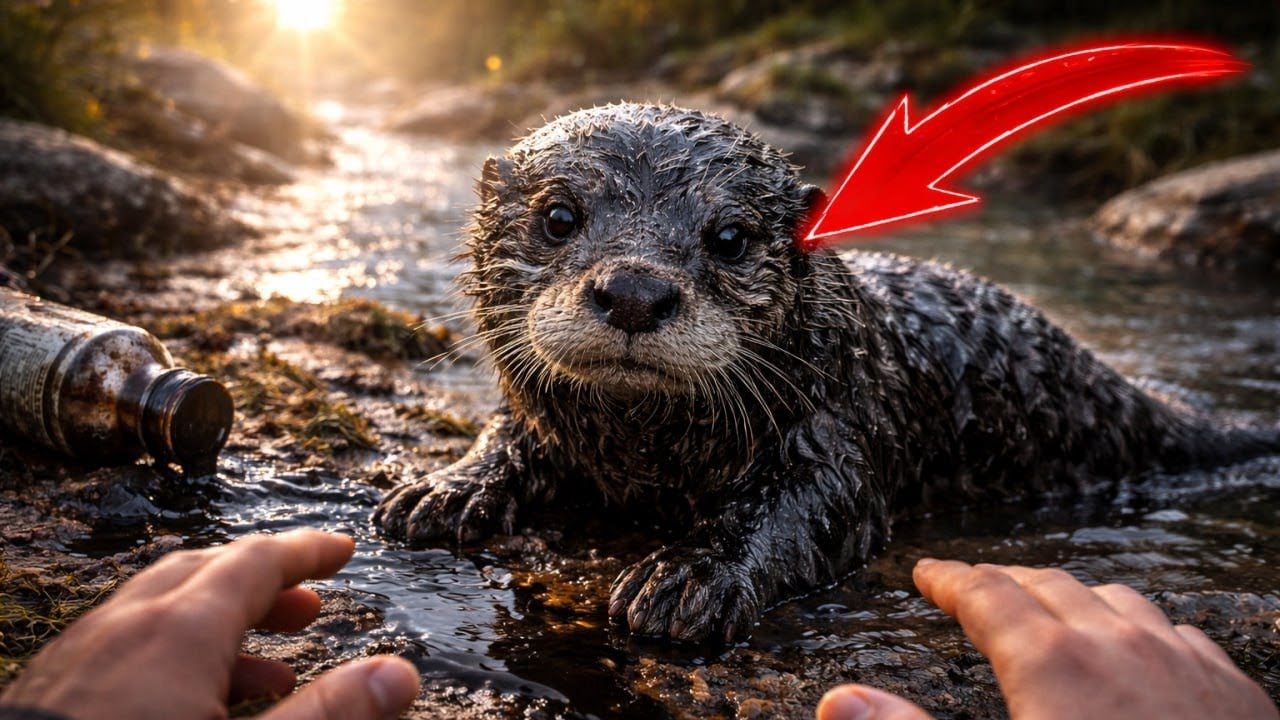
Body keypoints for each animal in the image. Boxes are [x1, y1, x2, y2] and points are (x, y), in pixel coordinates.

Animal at [375, 103, 1280, 642]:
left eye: (730, 237)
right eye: (559, 216)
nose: (634, 290)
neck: (649, 460)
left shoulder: (838, 429)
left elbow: (805, 514)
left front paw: (688, 576)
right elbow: (507, 432)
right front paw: (441, 489)